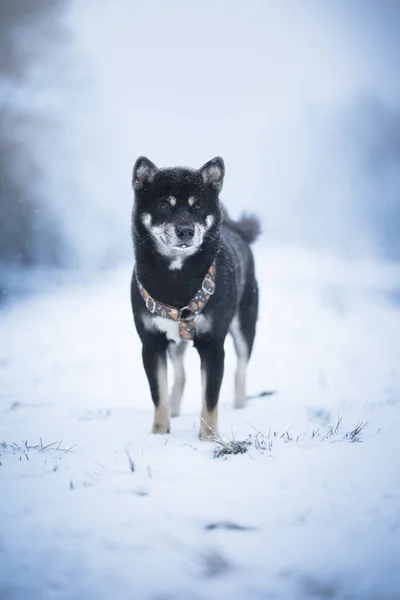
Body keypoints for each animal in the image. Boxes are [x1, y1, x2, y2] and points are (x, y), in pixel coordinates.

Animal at [130, 158, 260, 440]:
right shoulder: (151, 343)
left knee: (241, 369)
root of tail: (236, 231)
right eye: (164, 205)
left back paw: (240, 405)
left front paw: (209, 438)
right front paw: (159, 433)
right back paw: (175, 408)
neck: (176, 280)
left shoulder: (212, 345)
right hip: (175, 342)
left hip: (245, 326)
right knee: (180, 375)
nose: (185, 231)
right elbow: (158, 394)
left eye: (197, 205)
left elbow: (210, 398)